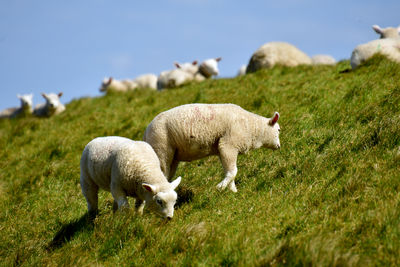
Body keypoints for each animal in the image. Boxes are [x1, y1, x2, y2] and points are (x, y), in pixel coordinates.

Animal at [144, 103, 282, 194]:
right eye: (279, 130)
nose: (279, 146)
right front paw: (220, 187)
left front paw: (232, 191)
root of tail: (146, 133)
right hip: (161, 150)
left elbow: (229, 172)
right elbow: (233, 171)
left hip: (173, 157)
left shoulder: (223, 149)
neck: (252, 127)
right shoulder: (228, 144)